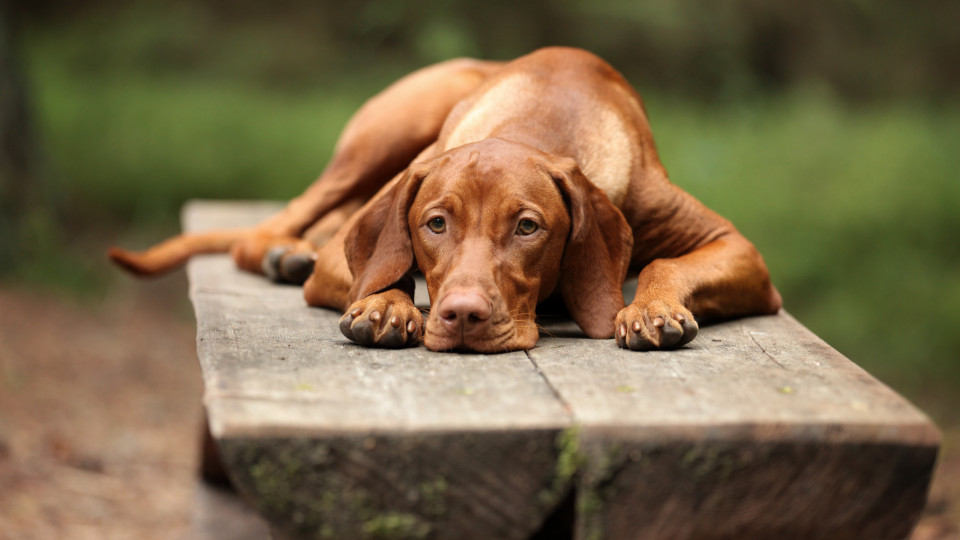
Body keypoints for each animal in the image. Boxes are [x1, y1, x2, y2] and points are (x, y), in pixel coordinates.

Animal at [109, 47, 784, 354]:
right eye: (434, 224)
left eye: (528, 228)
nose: (460, 316)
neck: (542, 121)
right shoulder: (353, 252)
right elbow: (382, 272)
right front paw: (387, 306)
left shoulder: (738, 247)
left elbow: (667, 261)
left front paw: (650, 307)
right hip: (389, 132)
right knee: (272, 228)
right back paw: (286, 254)